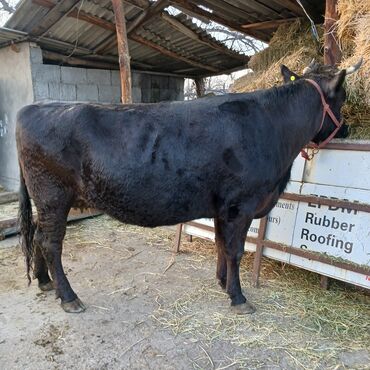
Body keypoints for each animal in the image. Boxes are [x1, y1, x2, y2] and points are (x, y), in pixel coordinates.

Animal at [17, 60, 362, 312]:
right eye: (343, 97)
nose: (347, 129)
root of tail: (33, 106)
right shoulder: (241, 204)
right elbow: (236, 250)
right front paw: (238, 297)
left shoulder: (223, 206)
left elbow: (222, 245)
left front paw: (223, 283)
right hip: (53, 195)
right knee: (51, 243)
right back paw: (69, 296)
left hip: (45, 200)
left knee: (38, 237)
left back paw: (45, 281)